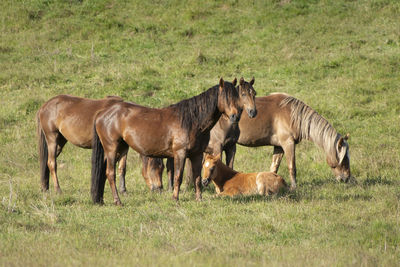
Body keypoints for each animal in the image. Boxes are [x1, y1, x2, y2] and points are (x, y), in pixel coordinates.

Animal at [90, 77, 256, 205]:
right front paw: (175, 199)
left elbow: (196, 177)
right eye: (226, 97)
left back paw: (101, 199)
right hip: (112, 149)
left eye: (237, 96)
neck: (192, 120)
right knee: (110, 173)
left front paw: (199, 199)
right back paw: (118, 201)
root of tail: (102, 113)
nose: (235, 116)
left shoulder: (196, 154)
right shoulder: (180, 154)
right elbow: (177, 176)